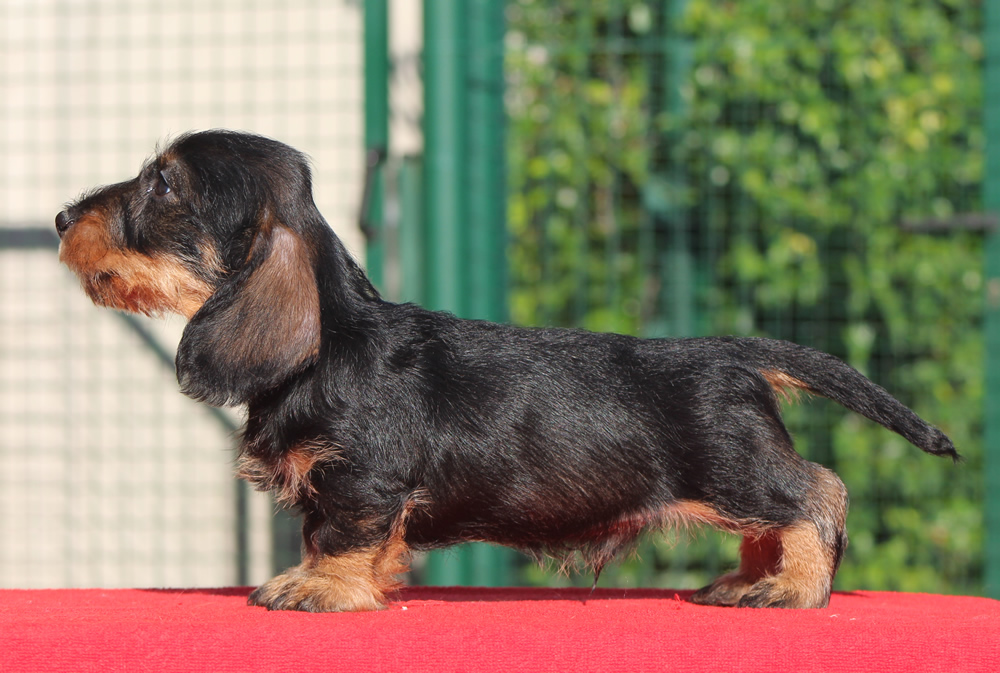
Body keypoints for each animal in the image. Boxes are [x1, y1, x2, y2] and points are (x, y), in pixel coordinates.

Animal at [56, 130, 960, 608]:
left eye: (160, 184)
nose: (63, 216)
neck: (328, 345)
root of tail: (734, 349)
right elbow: (363, 540)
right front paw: (368, 582)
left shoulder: (360, 478)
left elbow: (336, 532)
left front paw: (318, 586)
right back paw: (748, 578)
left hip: (735, 467)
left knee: (818, 493)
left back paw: (791, 587)